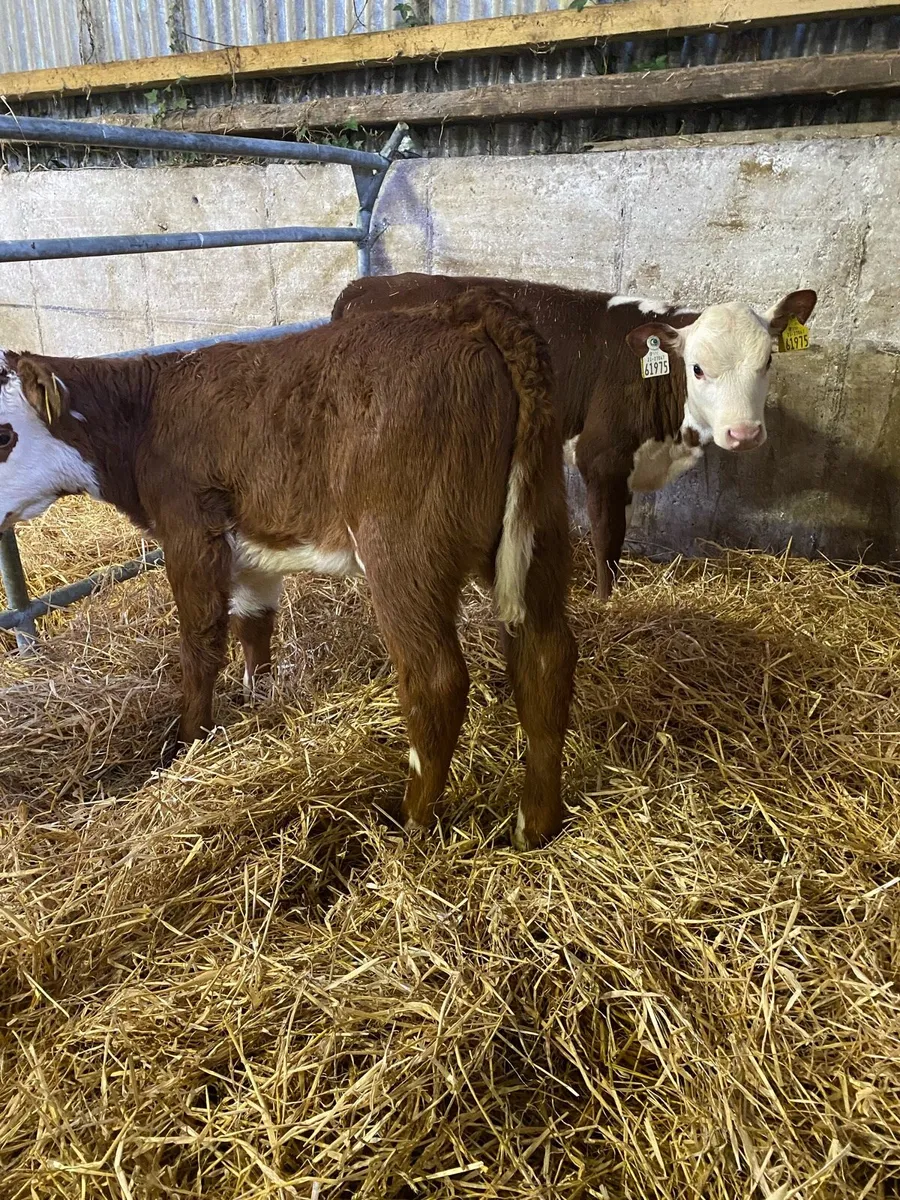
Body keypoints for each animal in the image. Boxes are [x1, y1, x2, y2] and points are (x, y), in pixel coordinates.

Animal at [0, 290, 576, 850]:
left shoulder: (190, 532)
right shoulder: (252, 549)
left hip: (405, 553)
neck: (145, 415)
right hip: (542, 531)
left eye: (3, 434)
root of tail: (472, 312)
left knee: (436, 681)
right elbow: (253, 626)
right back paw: (535, 826)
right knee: (545, 657)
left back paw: (411, 824)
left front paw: (189, 742)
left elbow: (199, 643)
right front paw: (260, 704)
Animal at [332, 275, 817, 599]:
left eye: (768, 361)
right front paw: (606, 600)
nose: (744, 433)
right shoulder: (601, 457)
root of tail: (367, 285)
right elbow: (607, 535)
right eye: (697, 368)